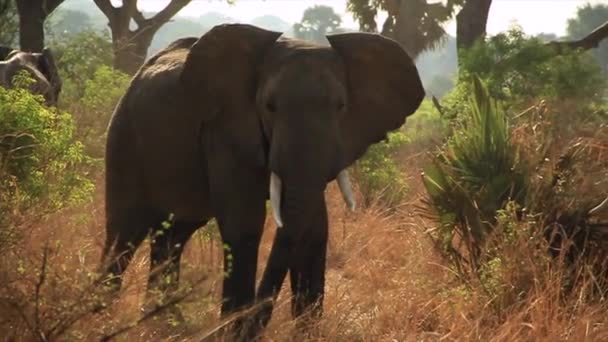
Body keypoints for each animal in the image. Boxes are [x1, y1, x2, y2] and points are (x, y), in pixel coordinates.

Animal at [101, 23, 422, 340]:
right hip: (123, 135)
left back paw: (165, 326)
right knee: (123, 234)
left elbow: (313, 228)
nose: (250, 324)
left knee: (173, 236)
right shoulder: (224, 128)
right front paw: (233, 331)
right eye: (269, 106)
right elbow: (245, 224)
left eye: (341, 106)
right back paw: (104, 316)